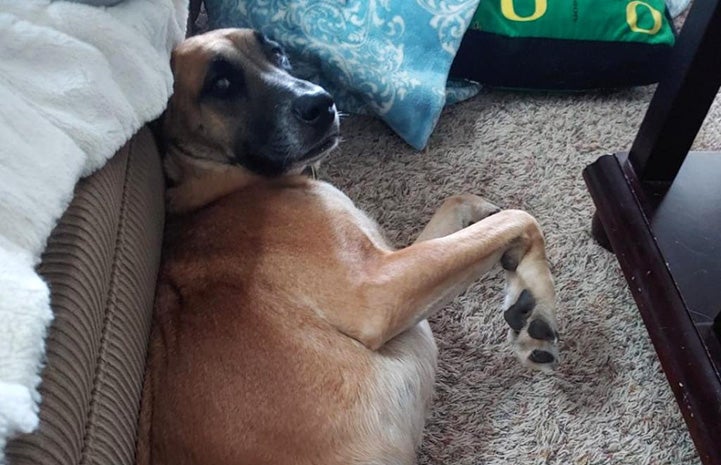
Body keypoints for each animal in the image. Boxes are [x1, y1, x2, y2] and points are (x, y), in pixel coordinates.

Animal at [138, 28, 560, 464]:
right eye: (221, 84)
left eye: (277, 53)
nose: (322, 102)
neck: (219, 184)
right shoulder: (377, 287)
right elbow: (520, 218)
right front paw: (539, 298)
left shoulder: (390, 255)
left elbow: (464, 204)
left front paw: (523, 288)